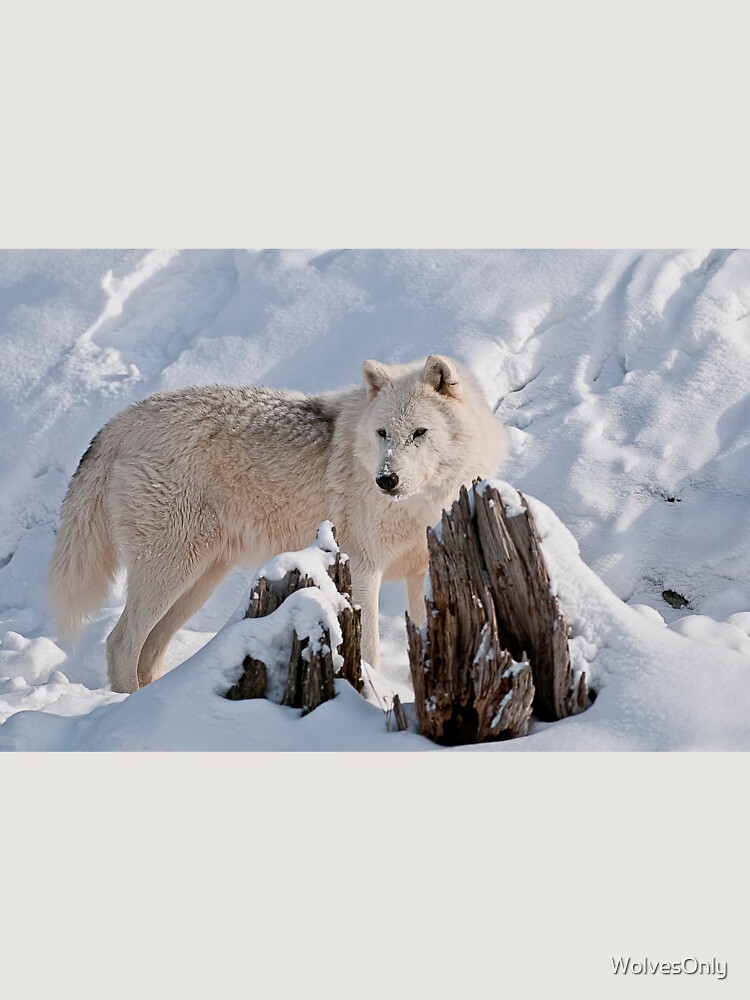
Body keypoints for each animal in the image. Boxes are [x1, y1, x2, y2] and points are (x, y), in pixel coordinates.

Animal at [49, 355, 507, 693]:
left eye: (419, 433)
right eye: (382, 434)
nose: (386, 480)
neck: (418, 505)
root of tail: (122, 421)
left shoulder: (428, 568)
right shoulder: (363, 569)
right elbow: (370, 650)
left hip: (198, 581)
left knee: (148, 653)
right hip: (172, 570)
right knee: (120, 643)